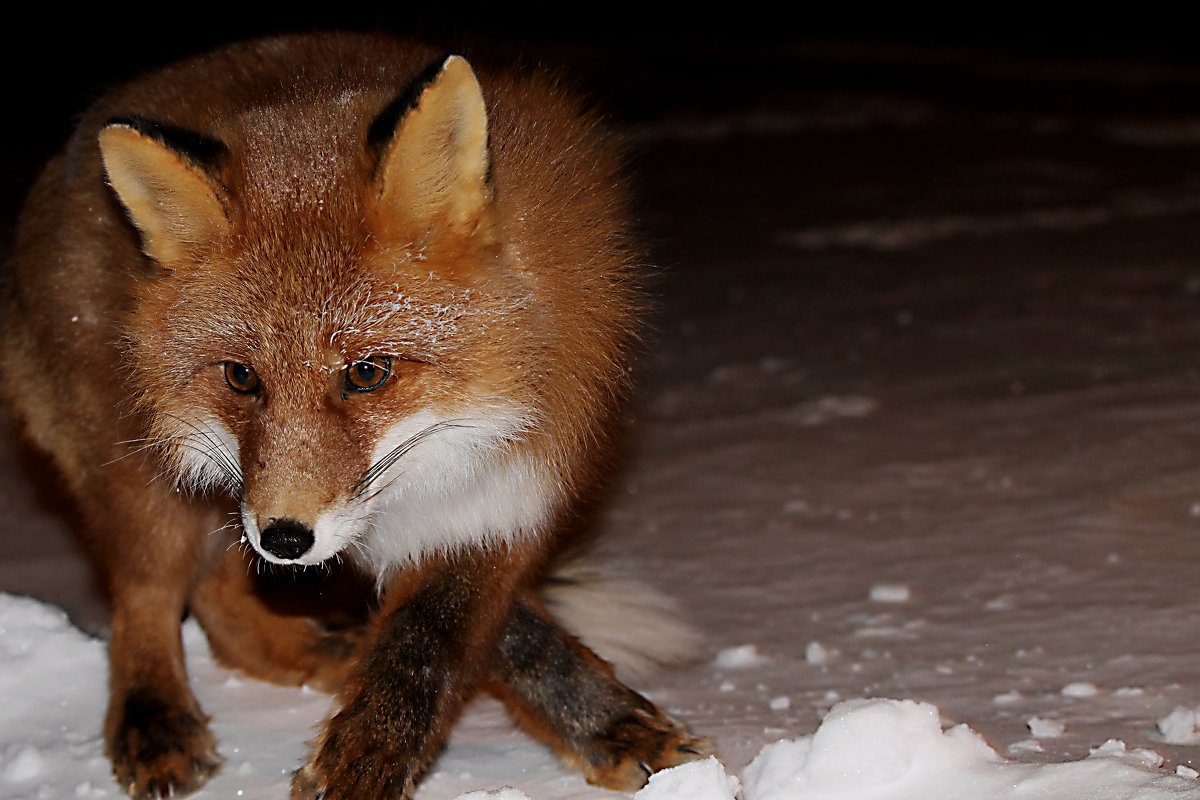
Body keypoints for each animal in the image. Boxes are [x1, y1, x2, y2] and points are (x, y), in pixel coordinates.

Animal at [0, 34, 705, 800]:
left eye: (367, 372)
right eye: (242, 376)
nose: (284, 540)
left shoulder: (513, 482)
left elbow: (430, 640)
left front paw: (604, 726)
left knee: (220, 605)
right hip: (143, 465)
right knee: (149, 593)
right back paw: (153, 718)